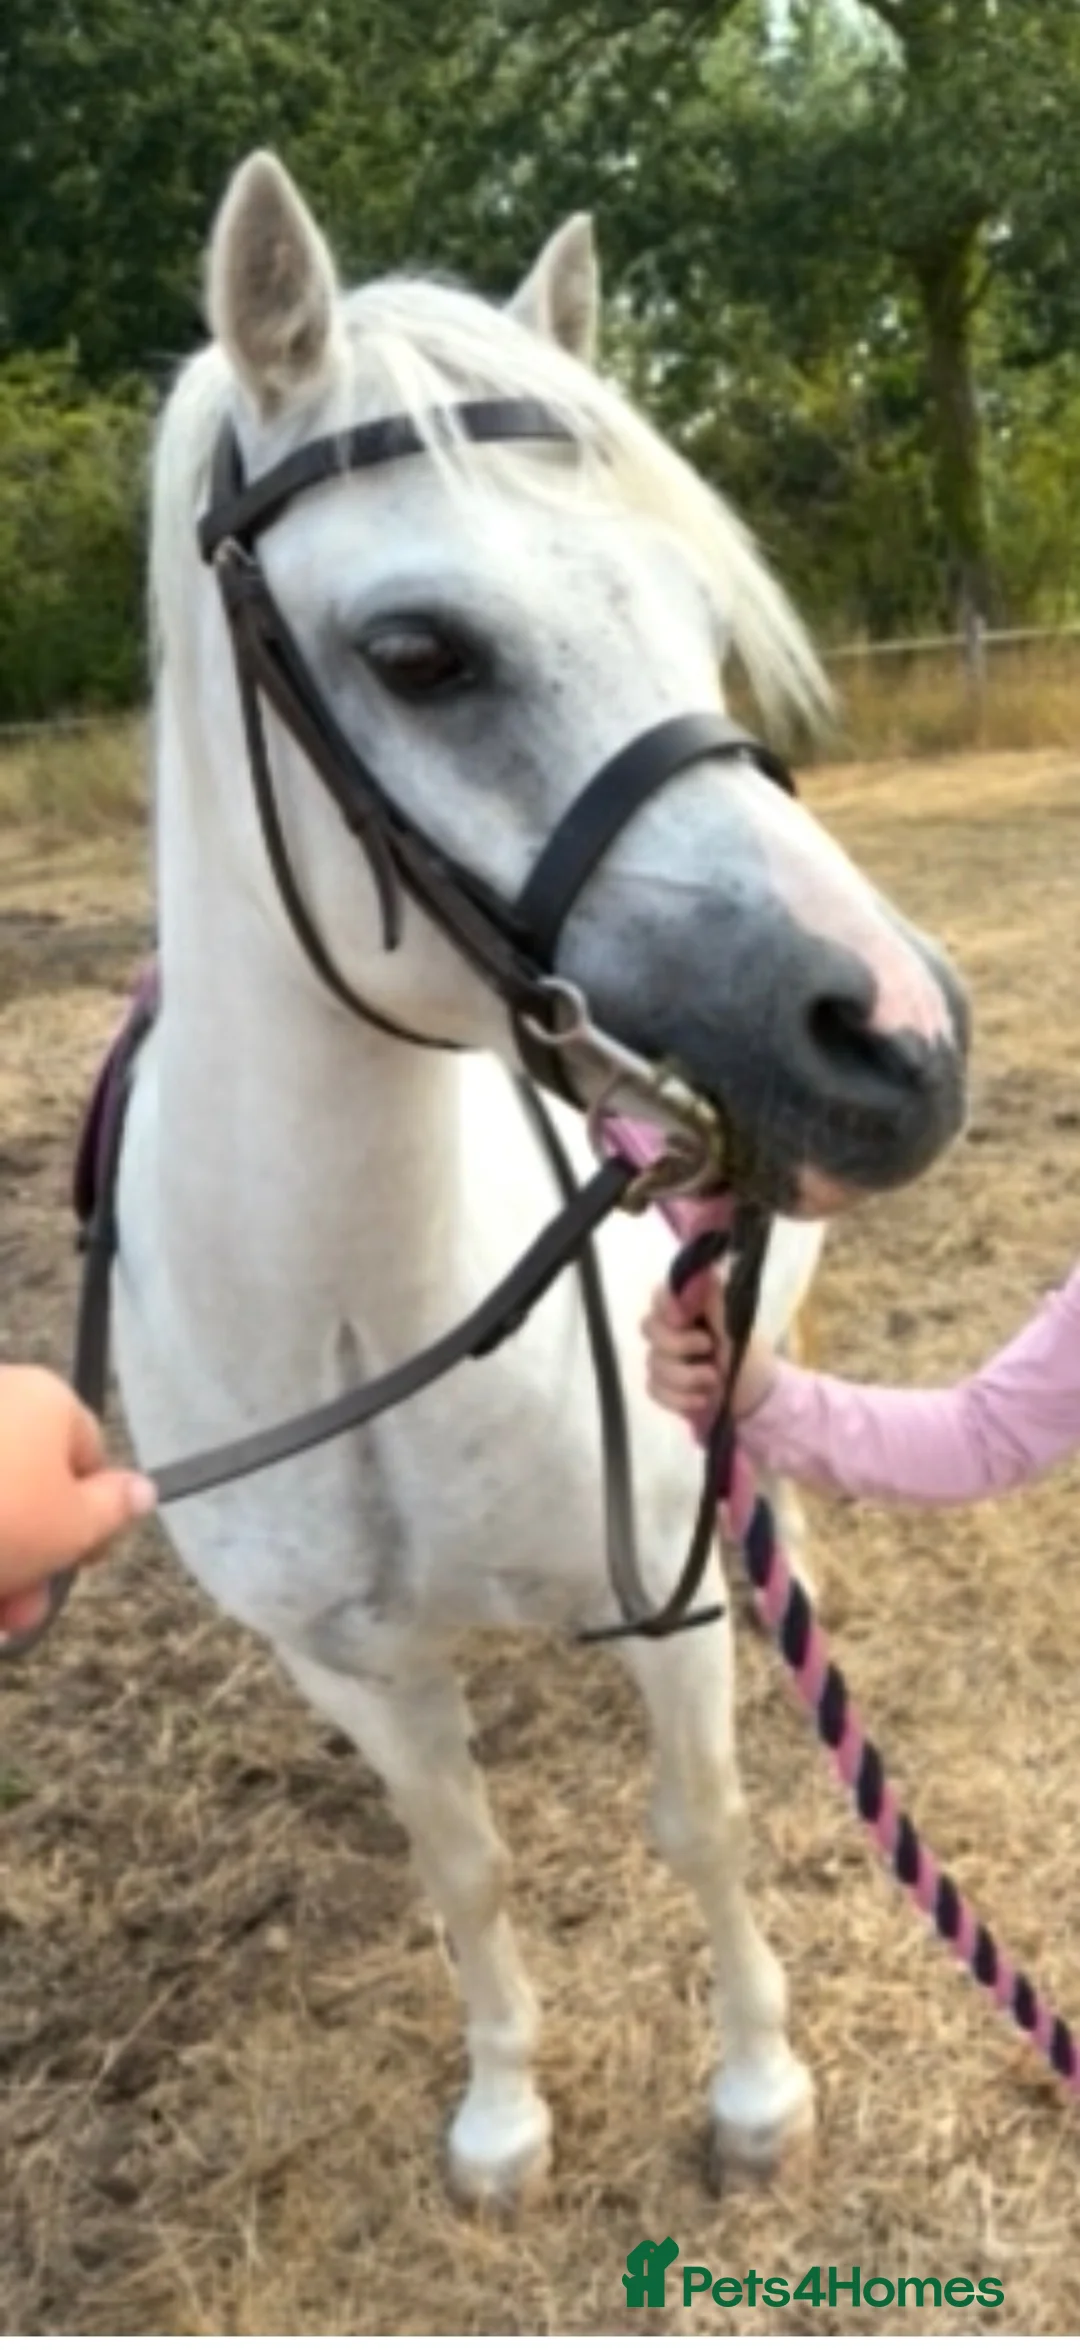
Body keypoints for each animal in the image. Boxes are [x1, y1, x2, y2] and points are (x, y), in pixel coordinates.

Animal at [111, 149, 969, 2202]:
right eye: (421, 653)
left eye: (693, 610)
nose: (904, 1038)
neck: (360, 1325)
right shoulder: (352, 1669)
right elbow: (466, 1866)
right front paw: (503, 2109)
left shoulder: (669, 1601)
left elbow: (703, 1824)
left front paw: (754, 2094)